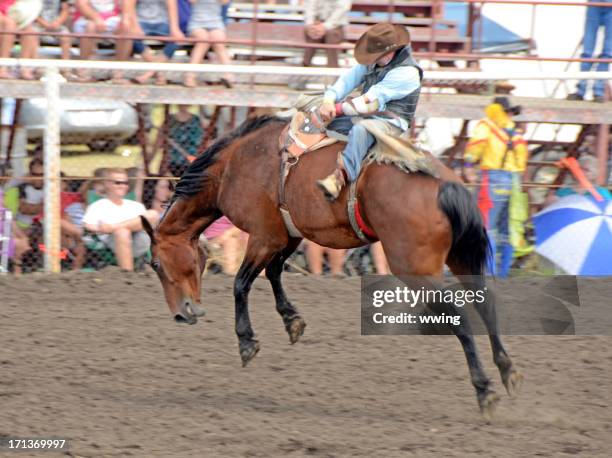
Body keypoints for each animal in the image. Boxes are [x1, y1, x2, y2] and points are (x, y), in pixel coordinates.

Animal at [142, 114, 520, 416]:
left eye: (156, 263)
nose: (183, 313)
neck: (233, 166)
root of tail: (445, 185)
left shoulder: (264, 236)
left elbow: (242, 283)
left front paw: (247, 342)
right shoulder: (289, 235)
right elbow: (274, 273)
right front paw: (292, 320)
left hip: (415, 268)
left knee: (459, 314)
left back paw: (484, 389)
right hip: (461, 258)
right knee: (485, 303)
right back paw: (506, 370)